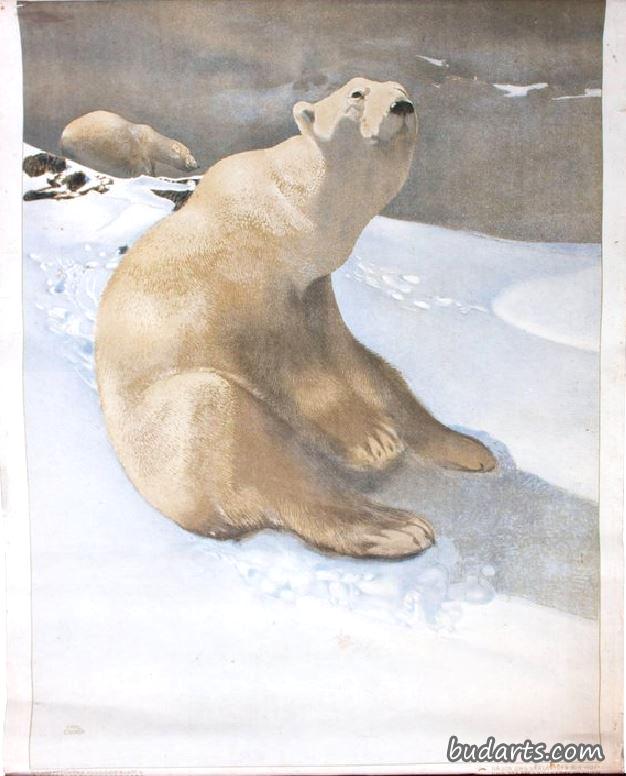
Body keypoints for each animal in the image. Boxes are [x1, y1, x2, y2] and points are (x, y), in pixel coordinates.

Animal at [60, 111, 198, 178]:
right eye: (189, 153)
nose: (196, 165)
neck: (149, 140)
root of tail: (64, 131)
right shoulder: (137, 150)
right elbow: (140, 166)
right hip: (80, 146)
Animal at [95, 78, 496, 560]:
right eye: (357, 95)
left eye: (400, 88)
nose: (403, 105)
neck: (295, 210)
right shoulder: (247, 275)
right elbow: (285, 358)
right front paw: (372, 439)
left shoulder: (313, 285)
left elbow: (356, 358)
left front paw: (459, 445)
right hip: (161, 444)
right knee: (234, 431)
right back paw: (394, 527)